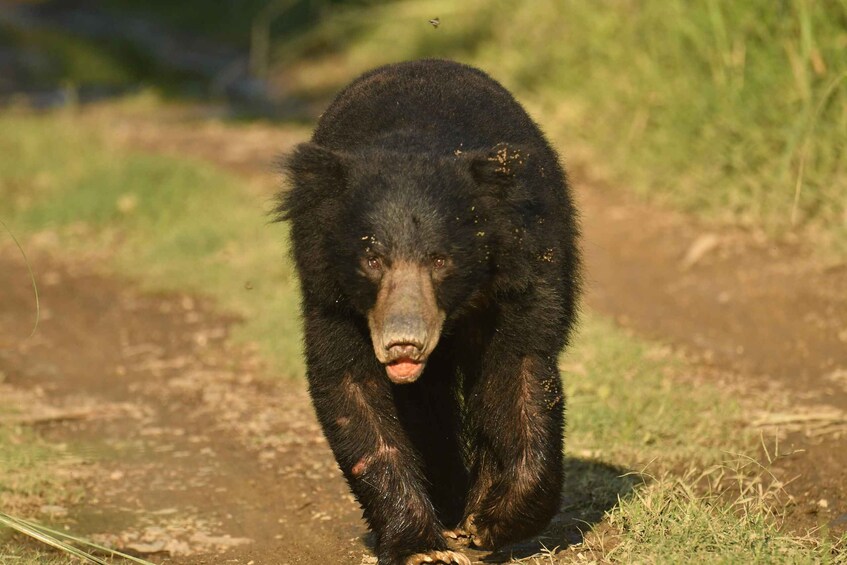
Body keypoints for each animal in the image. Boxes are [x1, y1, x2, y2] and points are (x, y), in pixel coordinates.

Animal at [276, 59, 580, 565]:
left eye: (440, 260)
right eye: (372, 258)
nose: (403, 342)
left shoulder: (524, 274)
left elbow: (519, 376)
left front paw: (488, 523)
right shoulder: (328, 291)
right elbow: (350, 386)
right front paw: (421, 547)